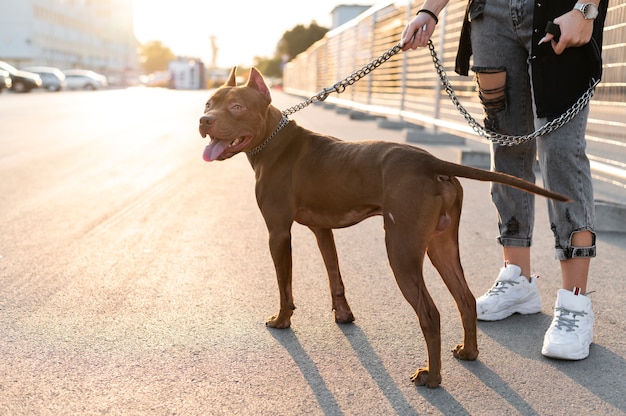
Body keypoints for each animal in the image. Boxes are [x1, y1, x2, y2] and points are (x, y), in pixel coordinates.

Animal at [197, 66, 568, 388]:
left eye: (236, 107)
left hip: (401, 252)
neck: (273, 142)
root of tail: (430, 161)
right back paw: (469, 352)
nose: (204, 120)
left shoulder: (278, 232)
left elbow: (284, 284)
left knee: (430, 313)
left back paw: (432, 378)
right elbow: (335, 277)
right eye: (209, 104)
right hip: (441, 245)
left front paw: (282, 320)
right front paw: (343, 316)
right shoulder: (322, 230)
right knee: (464, 299)